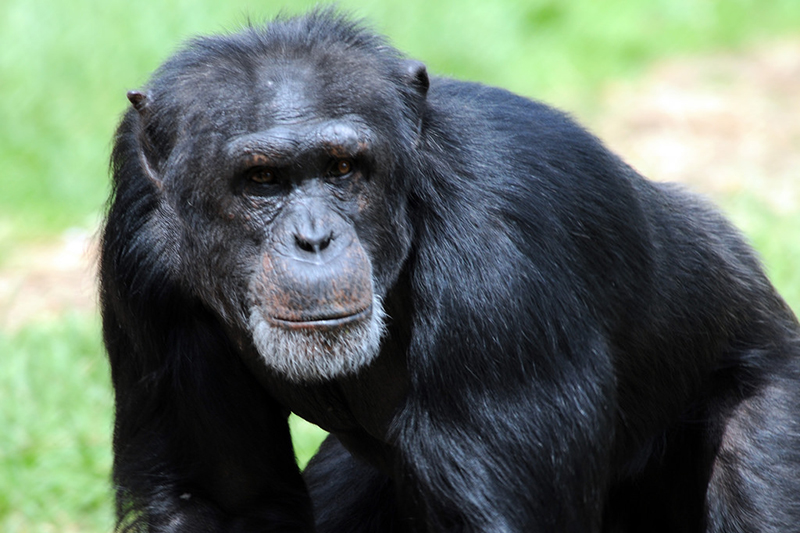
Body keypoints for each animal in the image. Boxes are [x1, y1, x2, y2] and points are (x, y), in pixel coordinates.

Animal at [100, 8, 800, 532]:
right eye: (262, 179)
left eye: (342, 168)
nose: (314, 239)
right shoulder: (141, 249)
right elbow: (225, 502)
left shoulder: (502, 259)